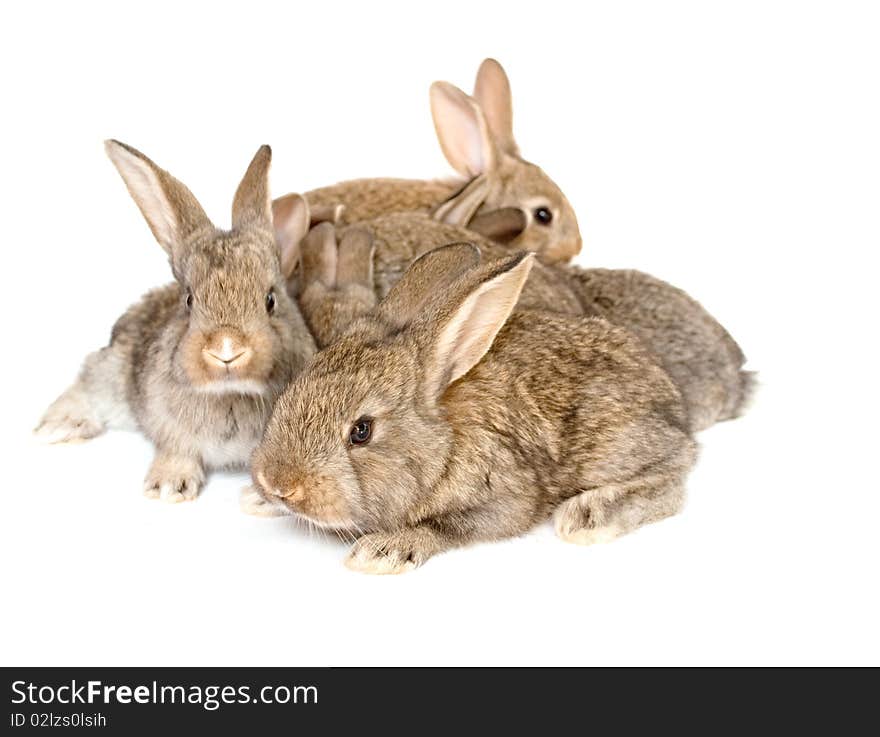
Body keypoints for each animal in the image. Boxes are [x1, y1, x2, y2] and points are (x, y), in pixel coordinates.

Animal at [38, 142, 320, 504]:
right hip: (113, 370)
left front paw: (262, 498)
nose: (226, 349)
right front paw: (168, 486)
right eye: (189, 300)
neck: (228, 394)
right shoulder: (166, 422)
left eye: (270, 300)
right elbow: (176, 448)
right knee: (86, 382)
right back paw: (57, 426)